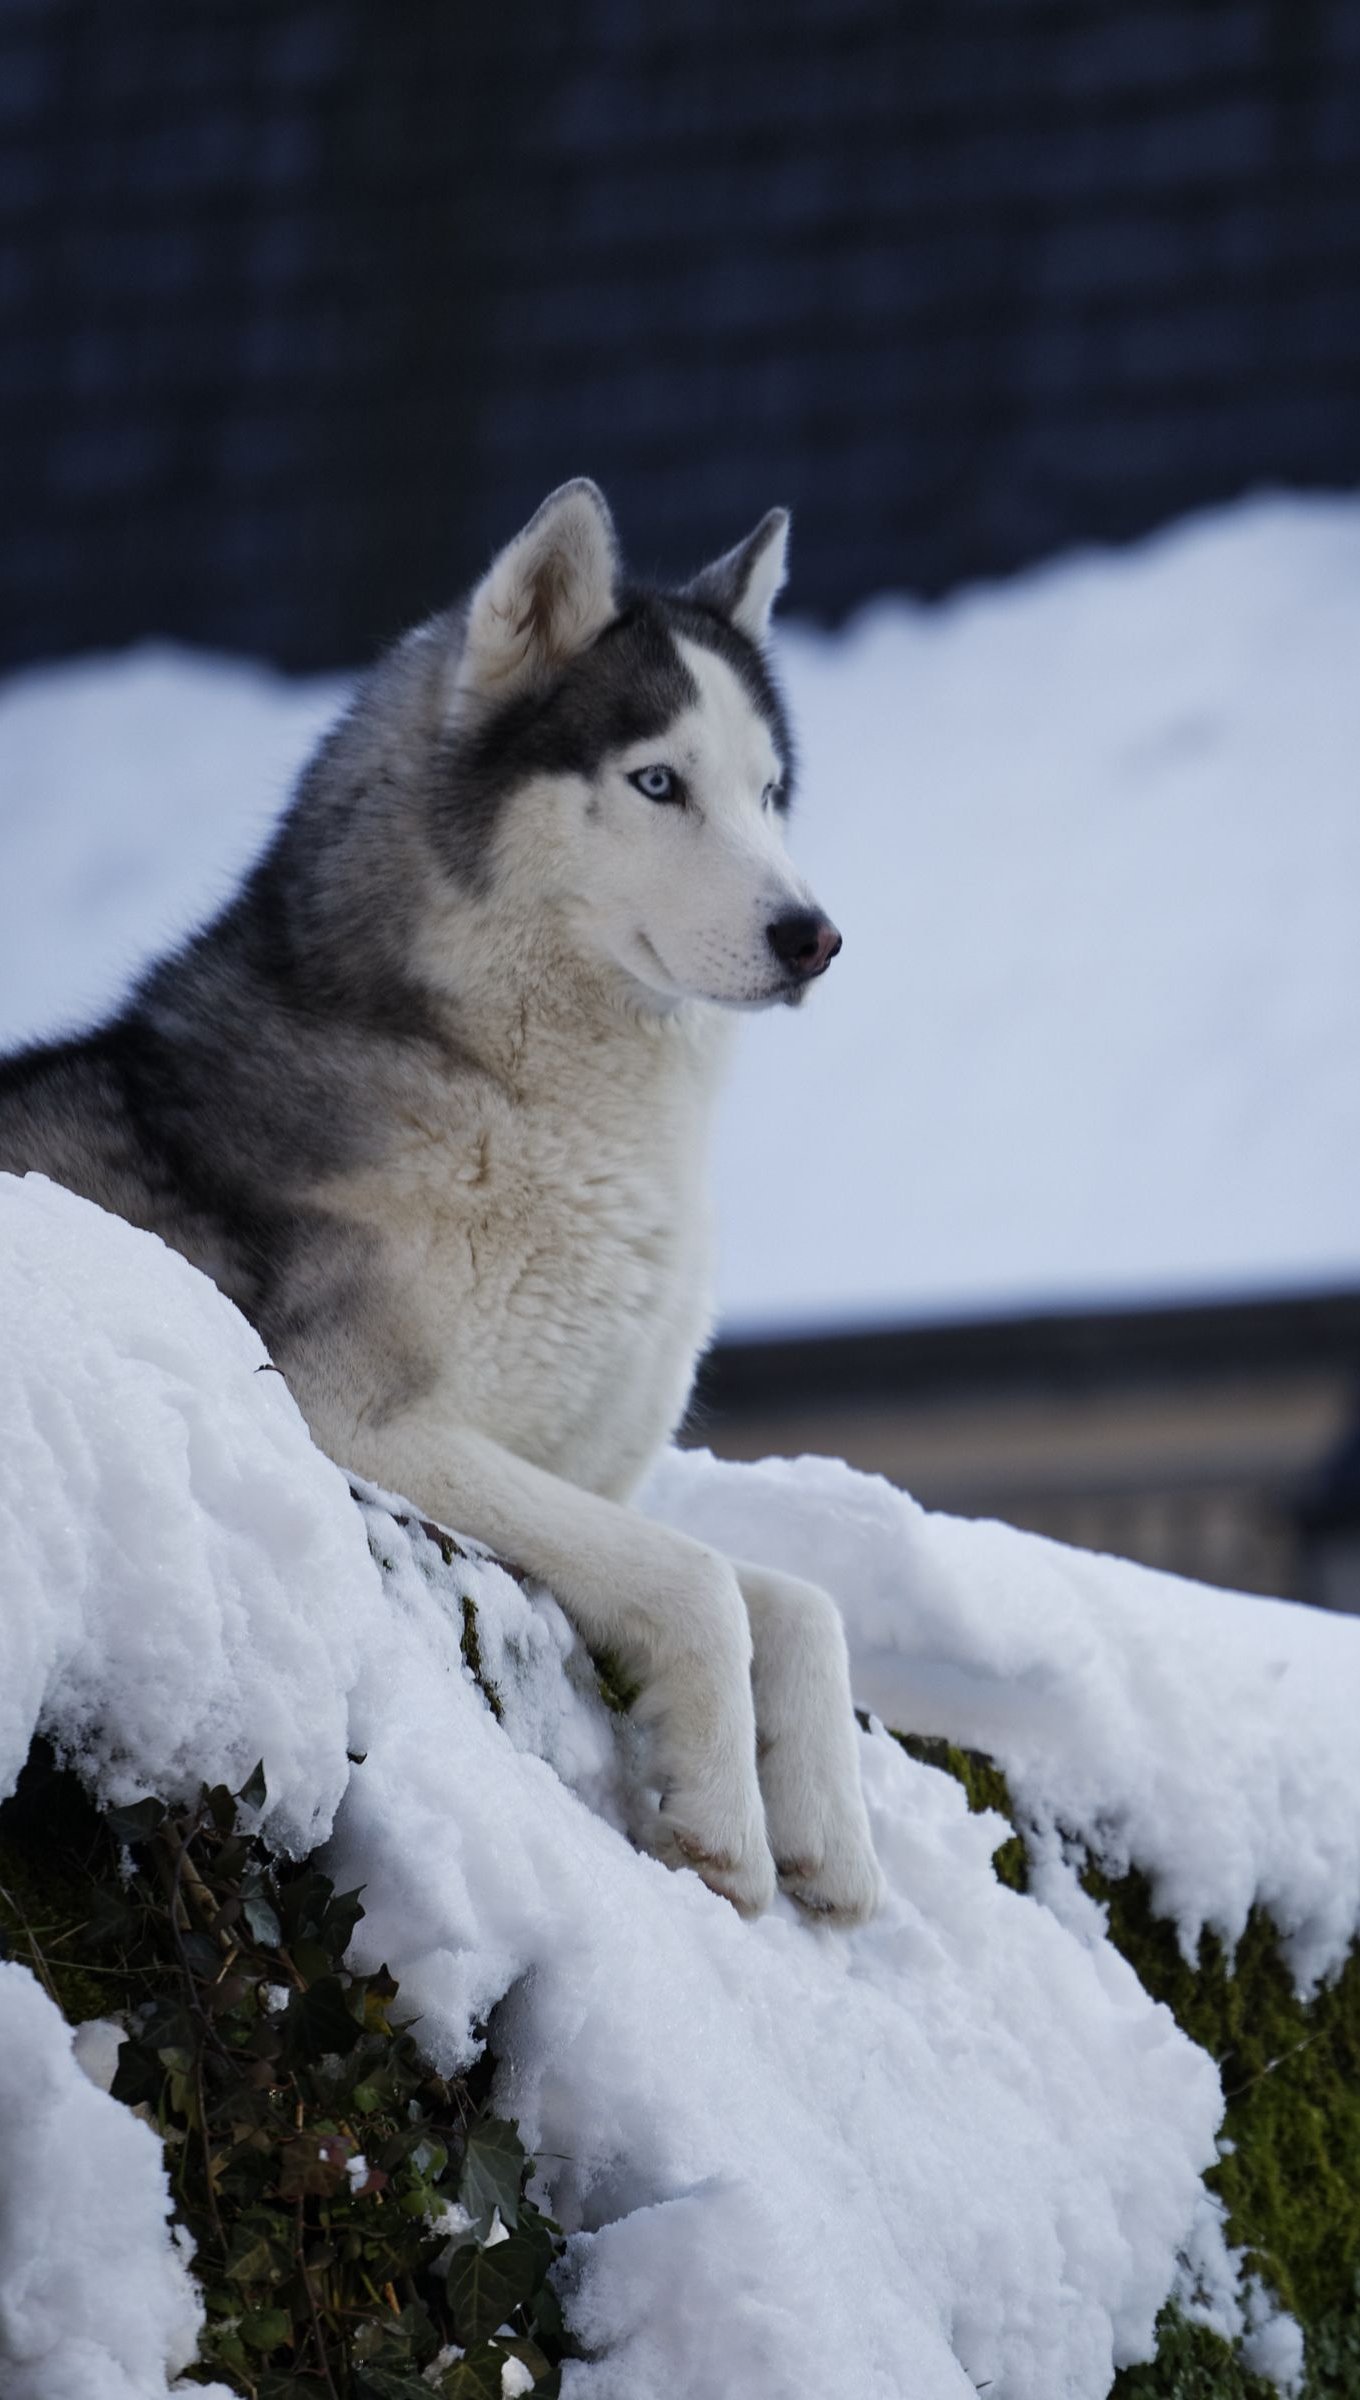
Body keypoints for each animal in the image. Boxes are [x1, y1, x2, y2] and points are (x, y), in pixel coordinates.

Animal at [0, 477, 887, 1920]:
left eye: (770, 794)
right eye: (656, 781)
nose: (813, 936)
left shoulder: (580, 1471)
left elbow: (803, 1605)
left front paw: (829, 1839)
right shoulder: (350, 1420)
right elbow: (703, 1583)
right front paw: (723, 1827)